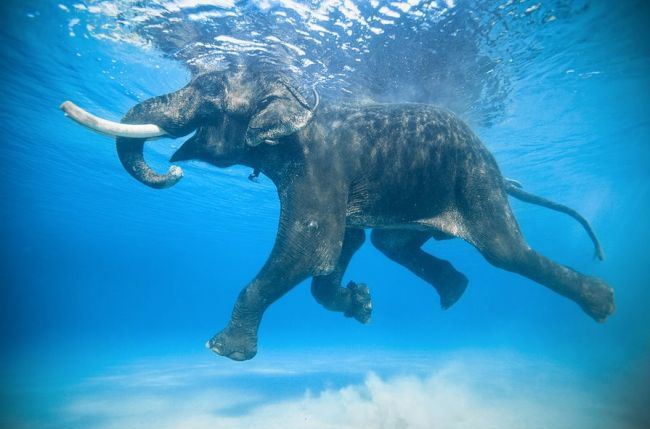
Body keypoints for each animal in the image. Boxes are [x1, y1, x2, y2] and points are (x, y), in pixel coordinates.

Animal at [61, 64, 615, 361]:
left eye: (212, 97)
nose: (174, 171)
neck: (296, 94)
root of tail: (504, 177)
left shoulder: (317, 171)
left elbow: (308, 249)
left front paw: (222, 350)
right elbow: (338, 250)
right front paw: (361, 305)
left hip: (475, 183)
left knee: (508, 253)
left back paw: (602, 304)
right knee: (391, 245)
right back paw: (454, 292)